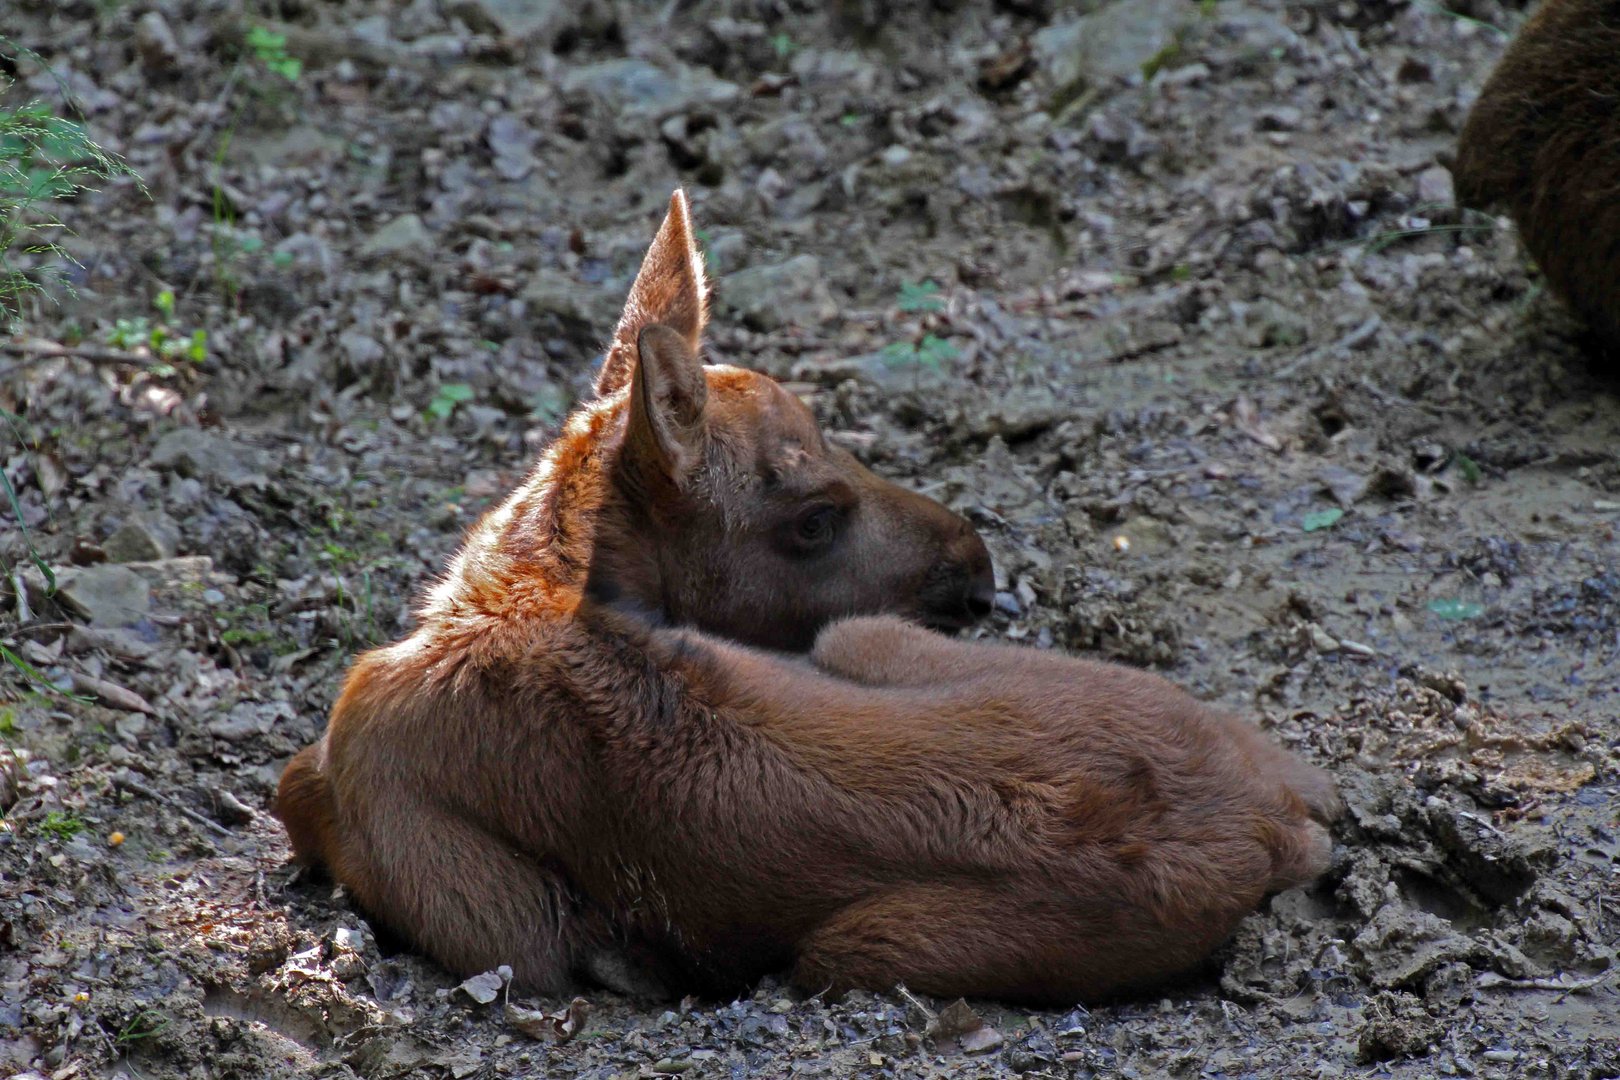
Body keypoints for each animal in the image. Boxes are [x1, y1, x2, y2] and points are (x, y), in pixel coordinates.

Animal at [281, 187, 1341, 1003]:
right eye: (814, 517)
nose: (979, 572)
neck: (516, 578)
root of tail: (1268, 825)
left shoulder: (440, 860)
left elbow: (296, 784)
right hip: (874, 652)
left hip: (850, 905)